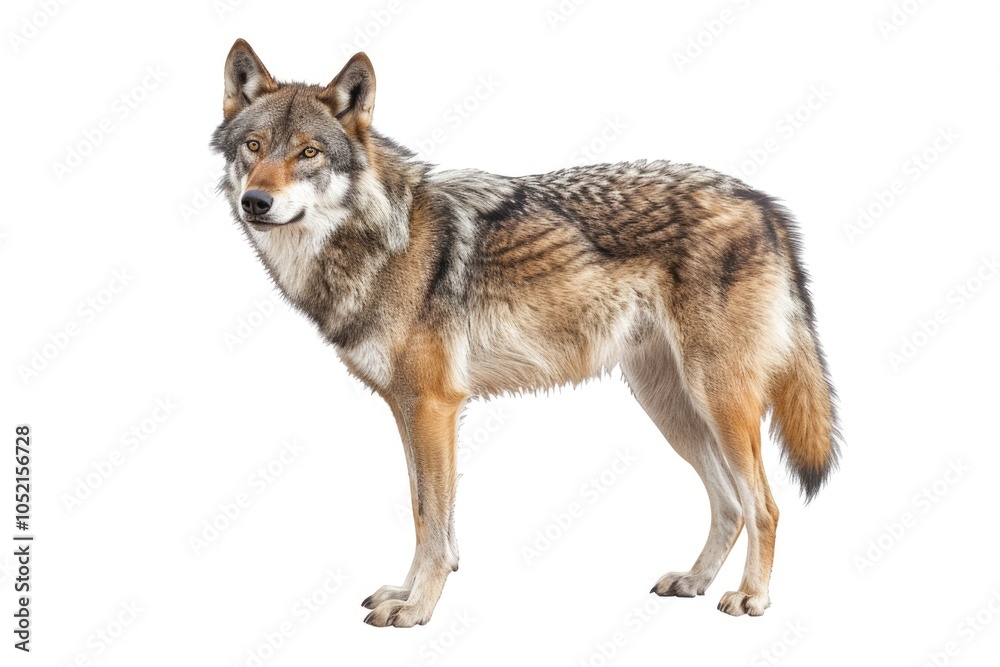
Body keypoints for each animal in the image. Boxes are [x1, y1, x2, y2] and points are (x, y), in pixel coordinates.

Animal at [212, 39, 841, 628]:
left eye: (308, 152)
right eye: (254, 147)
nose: (256, 201)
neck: (382, 238)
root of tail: (765, 204)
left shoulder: (435, 406)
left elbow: (432, 522)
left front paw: (418, 610)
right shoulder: (407, 408)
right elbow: (422, 510)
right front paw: (405, 593)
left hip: (718, 400)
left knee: (764, 505)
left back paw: (751, 597)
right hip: (671, 406)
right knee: (729, 504)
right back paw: (694, 582)